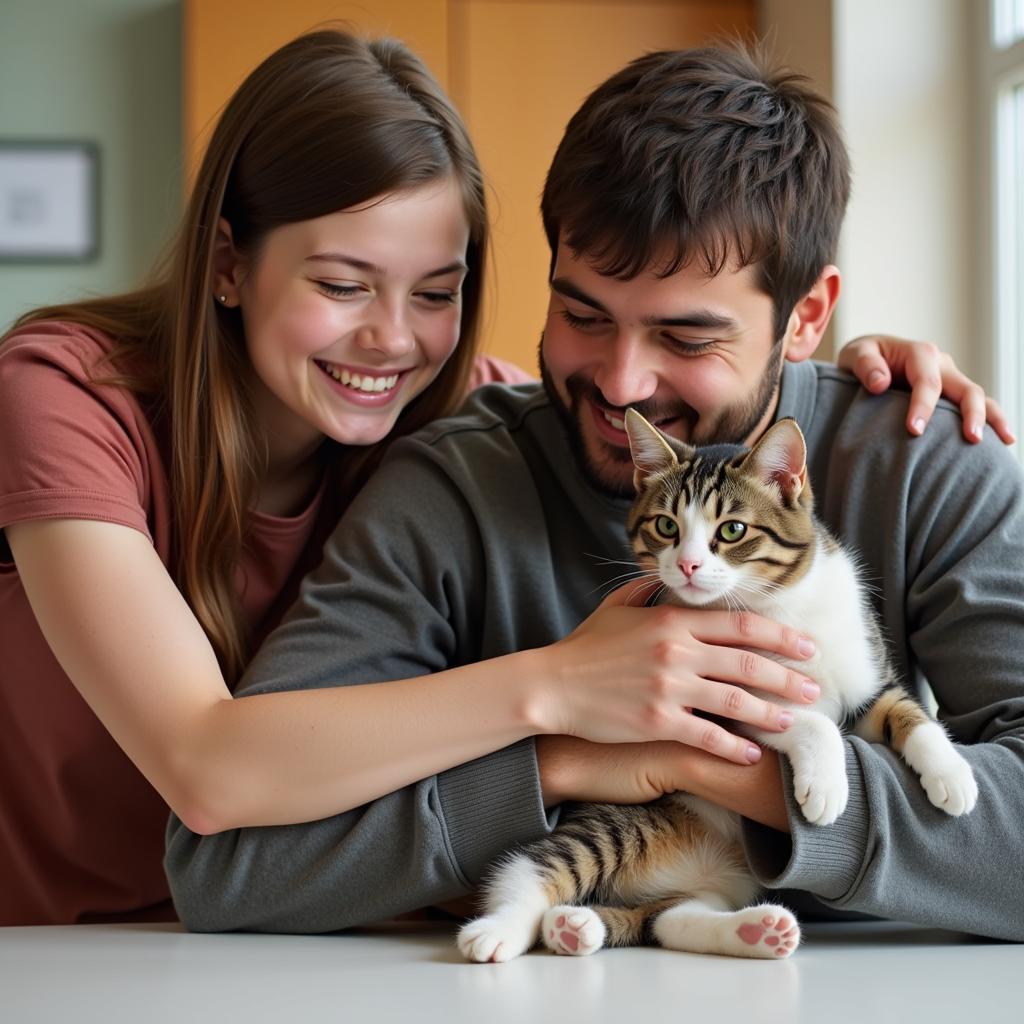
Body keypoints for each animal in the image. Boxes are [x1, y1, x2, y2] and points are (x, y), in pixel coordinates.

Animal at [460, 407, 978, 958]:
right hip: (614, 824)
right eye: (666, 525)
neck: (778, 603)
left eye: (732, 530)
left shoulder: (865, 669)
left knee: (672, 918)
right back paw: (500, 929)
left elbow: (906, 711)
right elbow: (808, 720)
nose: (688, 564)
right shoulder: (718, 699)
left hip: (718, 878)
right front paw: (827, 785)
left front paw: (951, 774)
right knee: (537, 867)